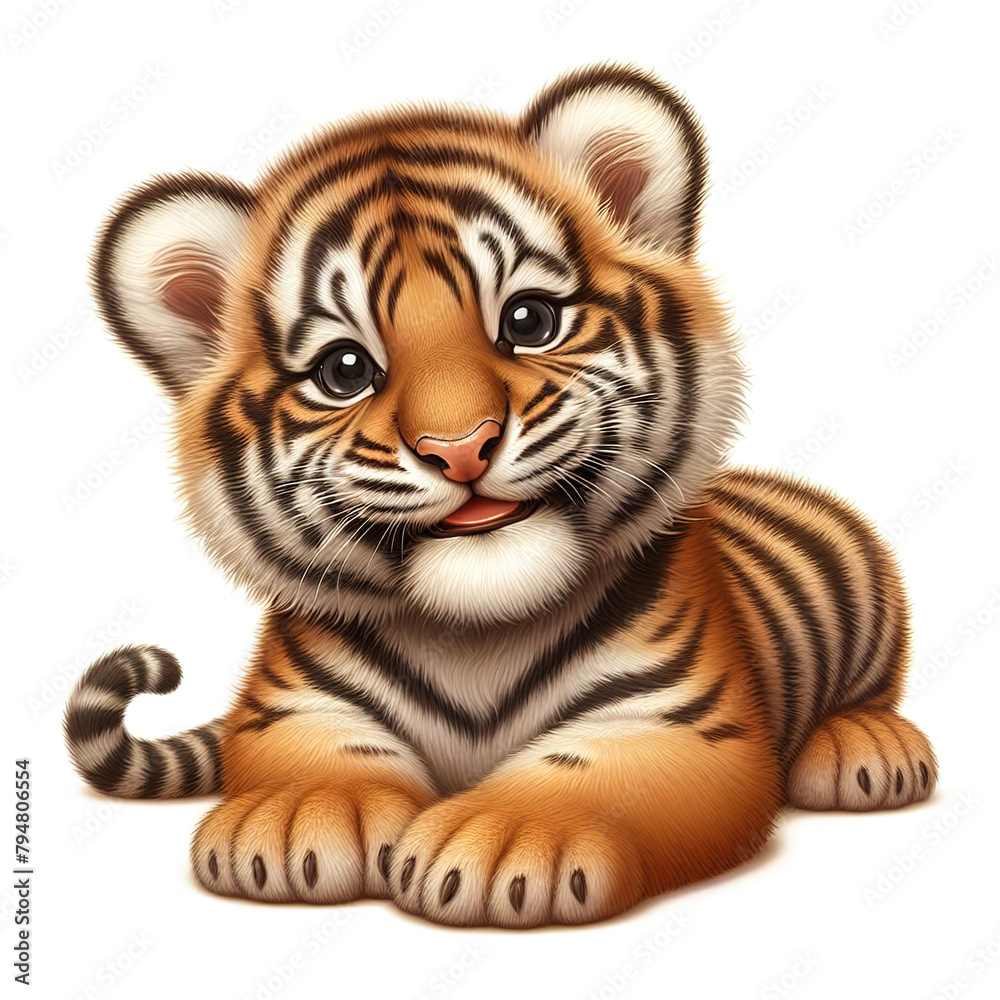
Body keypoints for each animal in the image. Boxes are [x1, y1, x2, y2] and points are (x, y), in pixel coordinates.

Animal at [64, 63, 937, 928]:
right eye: (345, 371)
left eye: (529, 320)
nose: (459, 448)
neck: (478, 634)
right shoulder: (292, 708)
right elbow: (314, 761)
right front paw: (292, 819)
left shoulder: (679, 722)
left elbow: (590, 776)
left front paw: (503, 839)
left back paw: (867, 751)